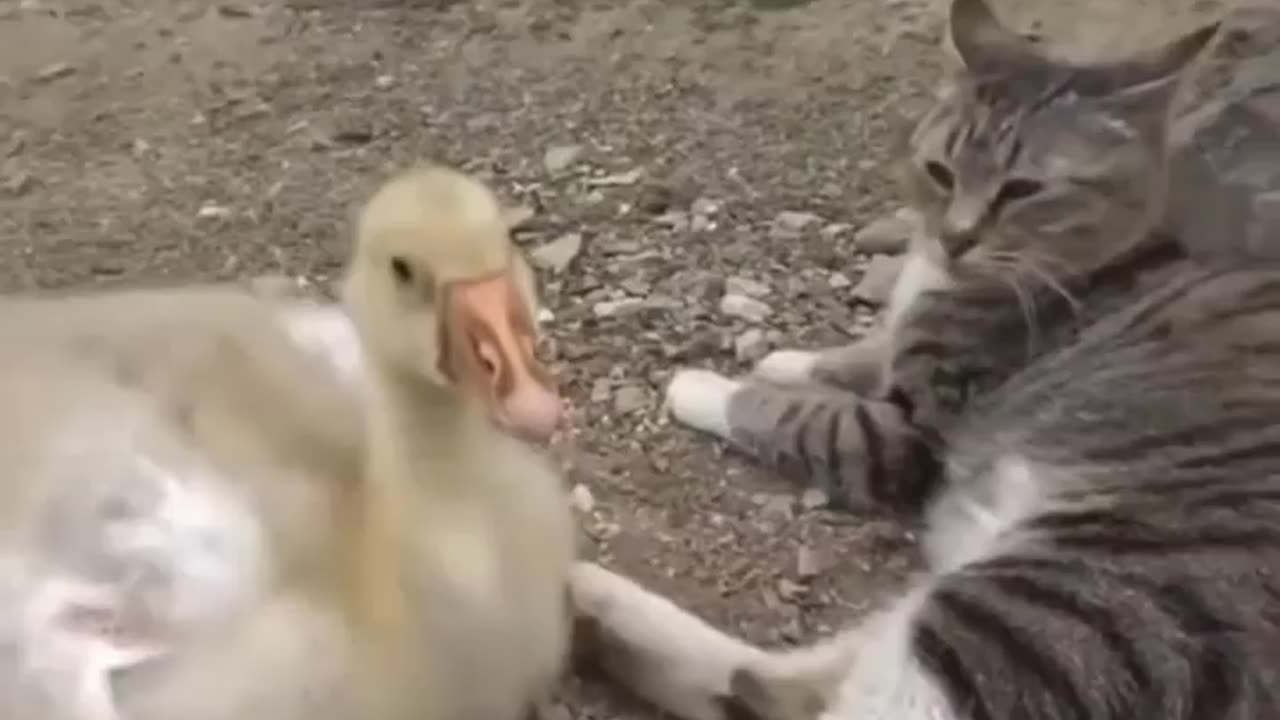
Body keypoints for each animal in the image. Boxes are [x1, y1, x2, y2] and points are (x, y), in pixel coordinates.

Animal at [568, 1, 1280, 717]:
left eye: (1023, 190)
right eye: (941, 172)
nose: (956, 238)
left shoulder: (905, 435)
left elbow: (798, 414)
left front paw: (708, 386)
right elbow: (860, 355)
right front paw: (789, 360)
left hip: (1061, 611)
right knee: (768, 687)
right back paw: (590, 598)